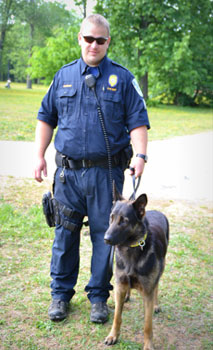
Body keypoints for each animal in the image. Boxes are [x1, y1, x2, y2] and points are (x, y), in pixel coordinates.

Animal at [104, 185, 169, 348]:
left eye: (124, 221)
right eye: (111, 217)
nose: (105, 239)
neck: (130, 249)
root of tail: (156, 211)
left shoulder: (147, 292)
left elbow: (147, 325)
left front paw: (148, 345)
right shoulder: (119, 285)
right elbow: (117, 317)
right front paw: (113, 336)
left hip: (161, 269)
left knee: (156, 286)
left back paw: (156, 305)